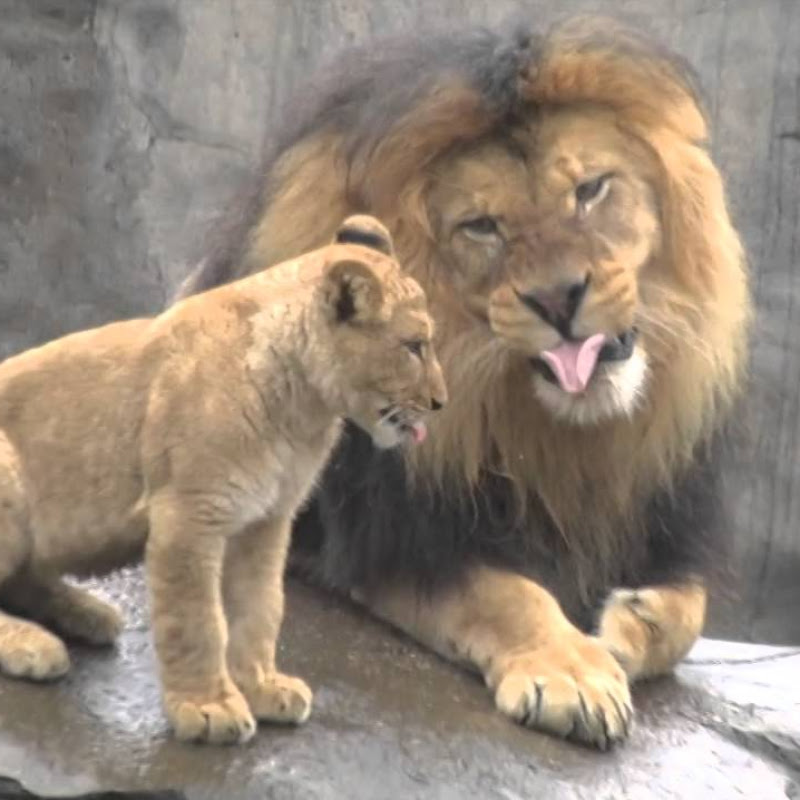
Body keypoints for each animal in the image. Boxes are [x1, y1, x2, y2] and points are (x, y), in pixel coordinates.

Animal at [180, 15, 752, 748]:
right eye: (481, 226)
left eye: (590, 190)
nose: (558, 300)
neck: (561, 436)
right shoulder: (394, 539)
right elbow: (507, 594)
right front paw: (571, 673)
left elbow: (691, 609)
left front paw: (636, 620)